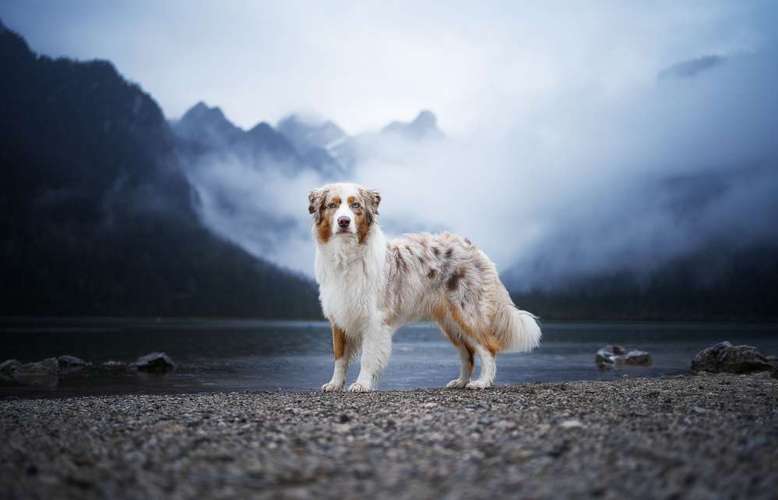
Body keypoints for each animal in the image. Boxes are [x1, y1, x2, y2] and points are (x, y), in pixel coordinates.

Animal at [304, 182, 540, 392]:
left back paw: (482, 382)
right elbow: (339, 357)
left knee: (487, 348)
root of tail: (472, 246)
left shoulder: (374, 320)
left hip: (467, 313)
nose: (344, 221)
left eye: (356, 206)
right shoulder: (338, 315)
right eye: (332, 205)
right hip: (450, 322)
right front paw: (335, 384)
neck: (347, 255)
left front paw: (361, 384)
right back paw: (461, 382)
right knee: (467, 353)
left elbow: (367, 357)